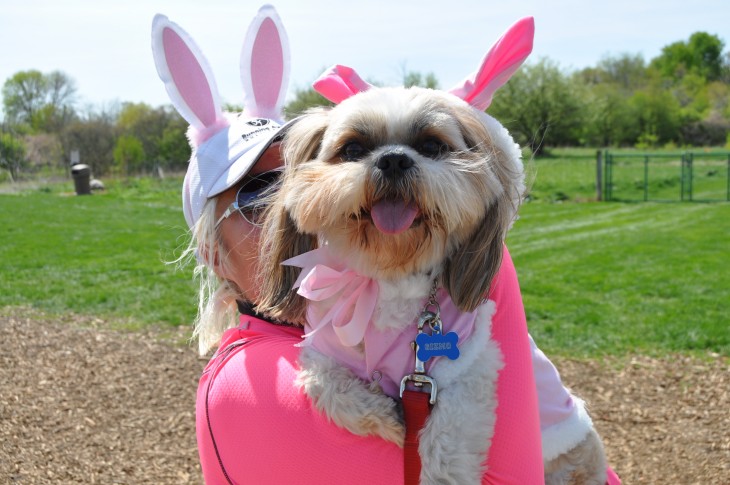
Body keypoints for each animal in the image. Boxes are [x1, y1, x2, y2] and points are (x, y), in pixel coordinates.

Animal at [258, 16, 608, 484]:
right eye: (352, 149)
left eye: (431, 145)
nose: (393, 159)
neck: (388, 278)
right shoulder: (325, 348)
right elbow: (323, 382)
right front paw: (388, 416)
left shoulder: (465, 372)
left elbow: (444, 451)